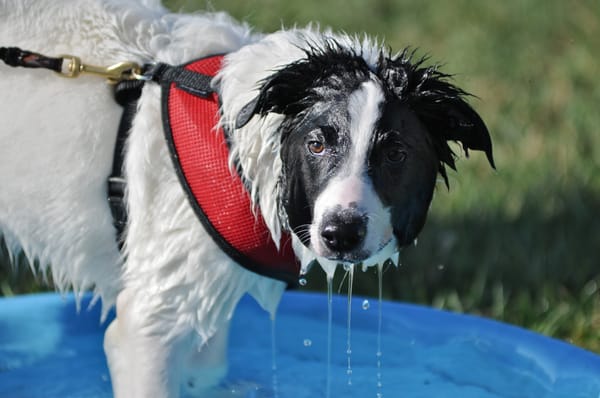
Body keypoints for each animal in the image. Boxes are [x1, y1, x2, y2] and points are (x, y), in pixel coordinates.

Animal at [0, 0, 494, 396]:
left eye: (395, 153)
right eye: (317, 144)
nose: (341, 233)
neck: (241, 148)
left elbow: (207, 368)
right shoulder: (147, 324)